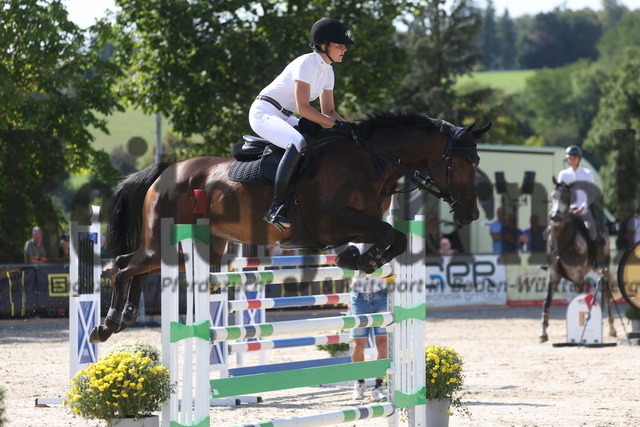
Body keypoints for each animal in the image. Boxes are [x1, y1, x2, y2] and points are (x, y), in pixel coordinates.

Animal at [89, 111, 490, 344]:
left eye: (477, 161)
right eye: (462, 163)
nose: (470, 214)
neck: (370, 159)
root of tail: (166, 170)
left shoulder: (360, 224)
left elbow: (396, 238)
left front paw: (363, 260)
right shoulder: (335, 222)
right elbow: (394, 235)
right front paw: (362, 260)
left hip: (197, 251)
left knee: (136, 268)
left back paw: (124, 318)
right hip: (166, 242)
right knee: (122, 267)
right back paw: (106, 325)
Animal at [540, 179, 616, 342]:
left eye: (566, 198)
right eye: (552, 196)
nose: (556, 217)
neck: (562, 242)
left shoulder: (578, 277)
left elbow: (578, 299)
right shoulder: (553, 275)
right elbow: (547, 301)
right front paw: (543, 332)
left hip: (604, 269)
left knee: (607, 295)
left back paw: (612, 329)